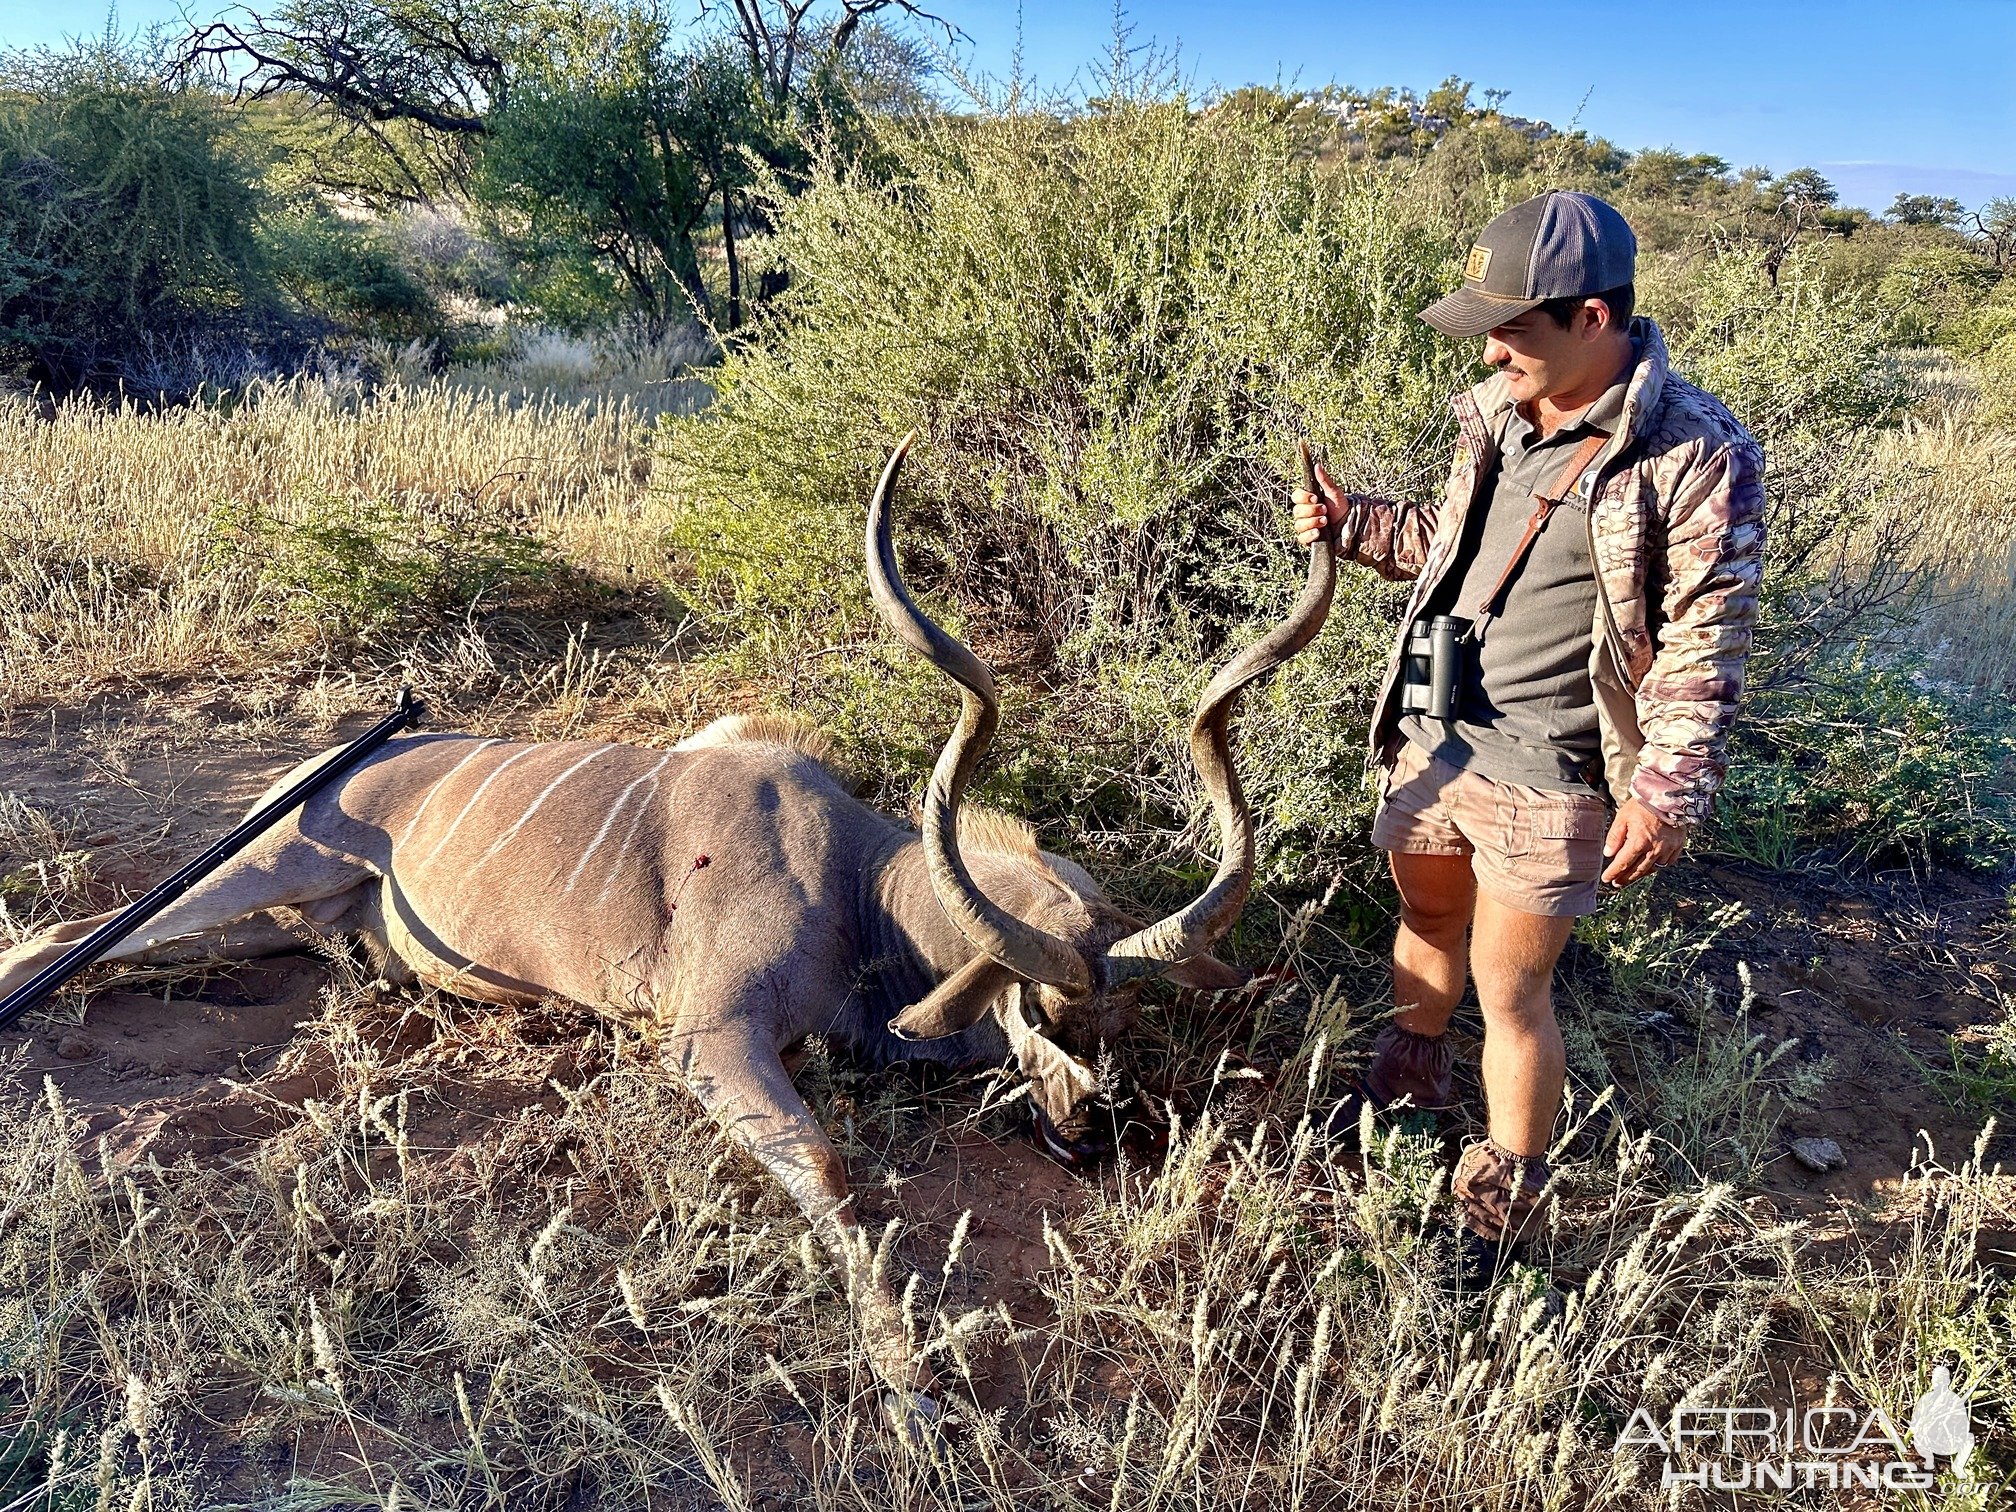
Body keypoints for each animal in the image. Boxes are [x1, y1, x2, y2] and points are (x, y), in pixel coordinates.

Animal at [0, 435, 1338, 1419]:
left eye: (1125, 1022)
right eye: (1046, 1014)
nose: (1093, 1139)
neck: (856, 886)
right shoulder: (709, 1038)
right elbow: (832, 1170)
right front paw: (910, 1379)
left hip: (282, 926)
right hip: (260, 866)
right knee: (58, 944)